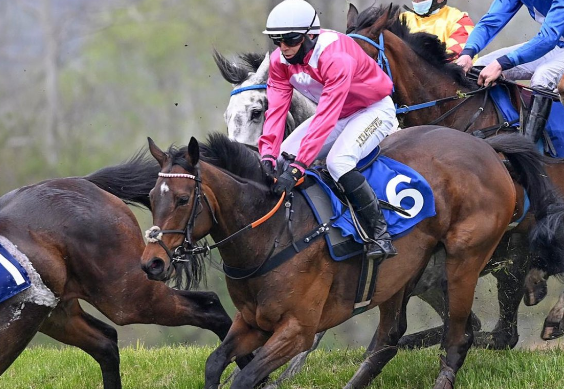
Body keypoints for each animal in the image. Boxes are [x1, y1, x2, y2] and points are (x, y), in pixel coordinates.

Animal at [140, 128, 564, 388]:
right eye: (150, 197)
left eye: (182, 199)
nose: (152, 263)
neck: (272, 233)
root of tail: (488, 148)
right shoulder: (253, 321)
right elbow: (214, 363)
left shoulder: (298, 329)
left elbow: (244, 378)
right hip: (402, 273)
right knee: (387, 341)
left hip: (465, 258)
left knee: (459, 337)